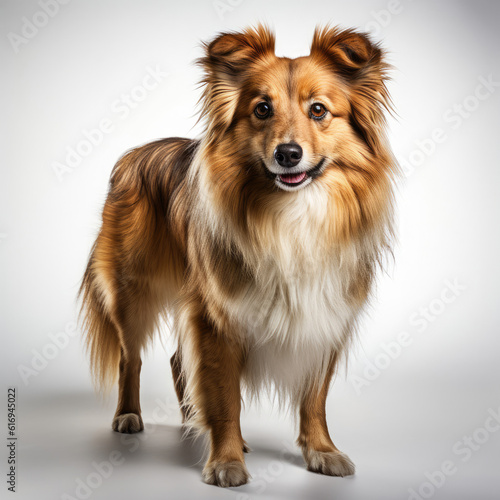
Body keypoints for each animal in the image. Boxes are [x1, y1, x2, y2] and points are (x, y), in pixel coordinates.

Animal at [79, 25, 398, 486]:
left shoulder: (324, 315)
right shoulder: (216, 318)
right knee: (130, 358)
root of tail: (133, 155)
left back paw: (190, 422)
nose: (288, 154)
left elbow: (314, 398)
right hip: (131, 292)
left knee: (176, 361)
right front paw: (226, 460)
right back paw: (128, 415)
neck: (292, 215)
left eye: (319, 110)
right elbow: (226, 398)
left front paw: (321, 451)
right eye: (262, 109)